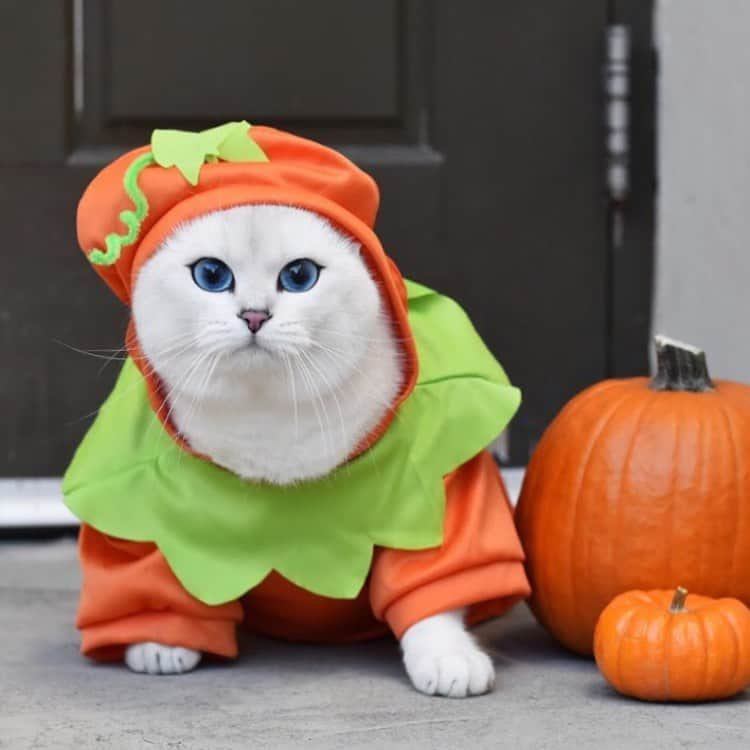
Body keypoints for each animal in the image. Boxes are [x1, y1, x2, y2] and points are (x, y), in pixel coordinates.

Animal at [128, 204, 500, 700]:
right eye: (211, 275)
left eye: (299, 276)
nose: (254, 315)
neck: (269, 421)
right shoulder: (142, 495)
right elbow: (157, 573)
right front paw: (160, 641)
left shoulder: (431, 490)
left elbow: (433, 590)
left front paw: (448, 659)